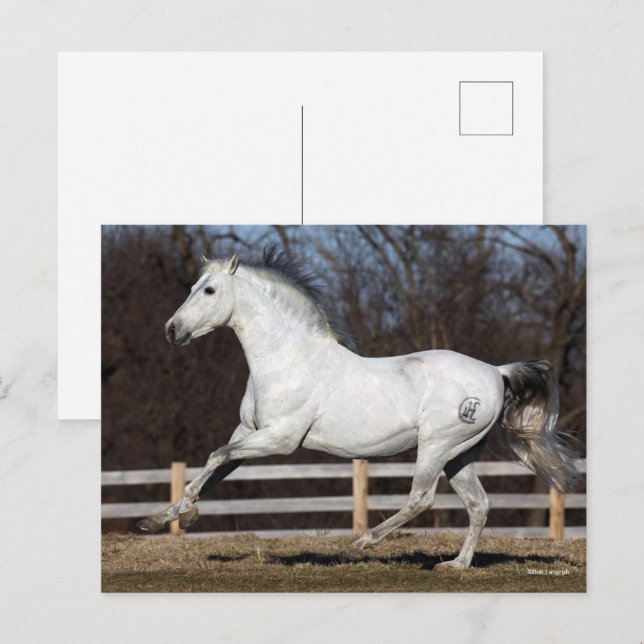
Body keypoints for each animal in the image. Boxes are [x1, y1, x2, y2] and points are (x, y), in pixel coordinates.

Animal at [137, 247, 579, 570]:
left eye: (209, 291)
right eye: (192, 286)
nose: (171, 330)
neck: (288, 359)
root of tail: (496, 372)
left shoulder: (279, 440)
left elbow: (214, 458)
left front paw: (184, 516)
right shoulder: (248, 433)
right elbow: (213, 469)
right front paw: (157, 519)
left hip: (436, 447)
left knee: (421, 499)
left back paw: (359, 546)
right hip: (461, 454)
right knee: (478, 505)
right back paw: (456, 565)